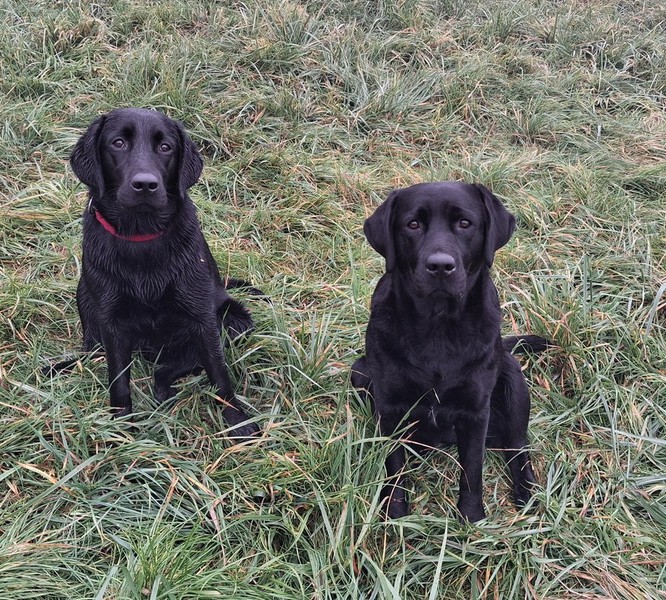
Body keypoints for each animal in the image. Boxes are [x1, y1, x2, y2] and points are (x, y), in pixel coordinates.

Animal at [63, 107, 259, 439]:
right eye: (118, 143)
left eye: (166, 147)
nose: (145, 184)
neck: (141, 236)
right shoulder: (112, 324)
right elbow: (118, 382)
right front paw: (120, 431)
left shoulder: (202, 318)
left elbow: (219, 374)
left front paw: (238, 423)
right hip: (85, 297)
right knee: (96, 353)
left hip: (232, 321)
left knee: (168, 369)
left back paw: (165, 392)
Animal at [352, 181, 542, 521]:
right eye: (413, 224)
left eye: (464, 223)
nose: (440, 266)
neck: (438, 326)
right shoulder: (390, 407)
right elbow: (394, 465)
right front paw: (396, 515)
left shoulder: (476, 411)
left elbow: (472, 469)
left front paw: (472, 518)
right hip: (360, 372)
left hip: (512, 379)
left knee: (518, 449)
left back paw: (527, 494)